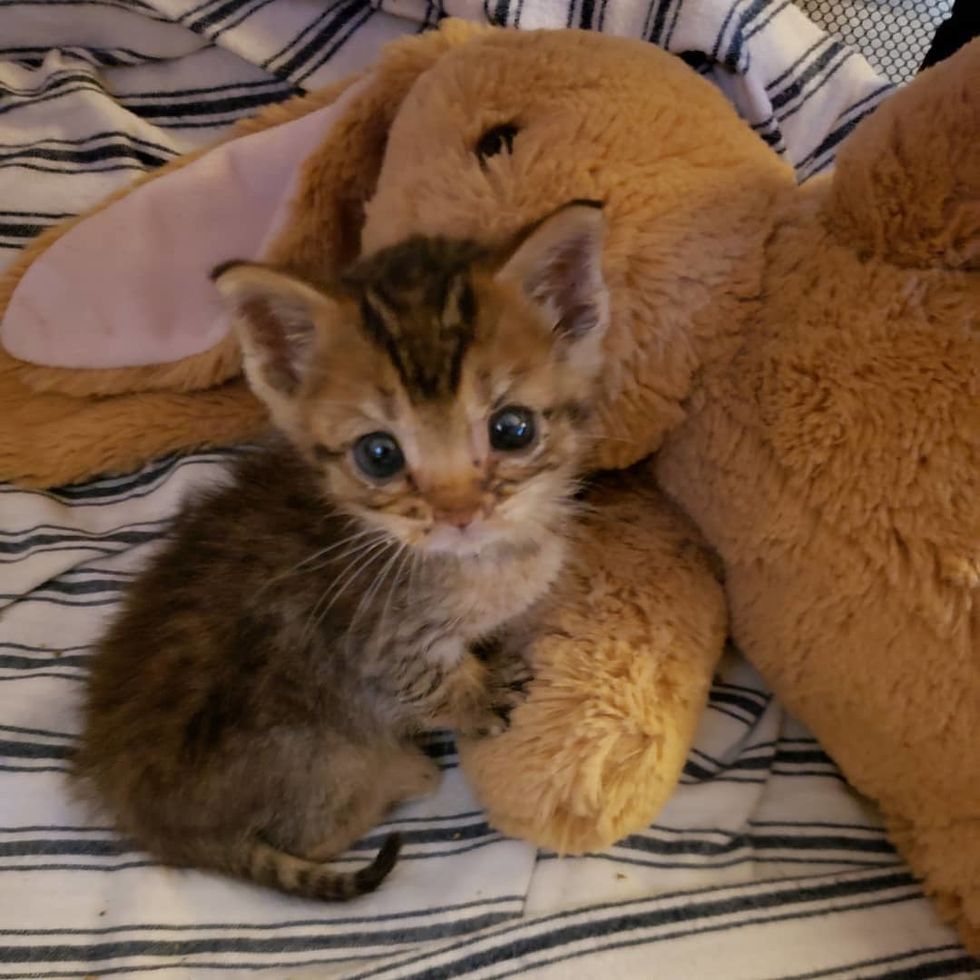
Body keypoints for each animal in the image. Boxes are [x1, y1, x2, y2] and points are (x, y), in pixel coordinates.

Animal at [76, 199, 608, 904]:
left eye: (512, 429)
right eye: (378, 454)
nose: (458, 513)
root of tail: (153, 822)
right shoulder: (372, 646)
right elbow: (427, 684)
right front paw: (480, 695)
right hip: (320, 756)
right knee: (317, 834)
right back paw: (406, 773)